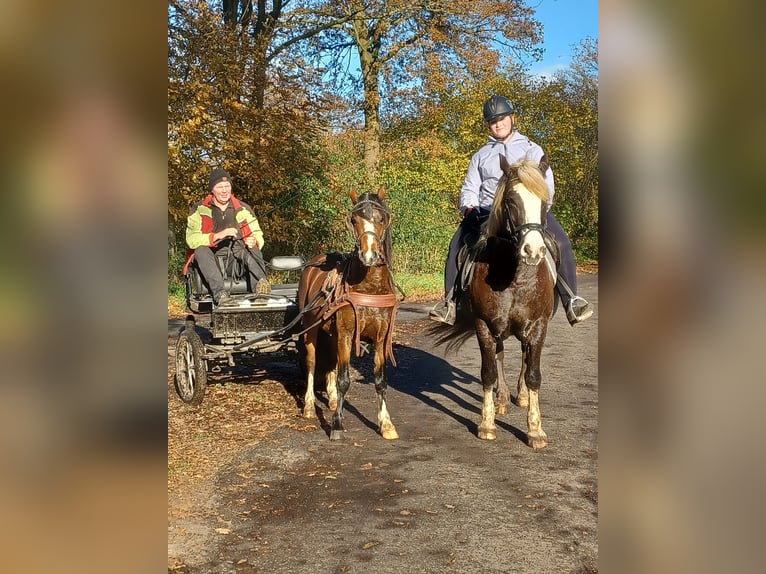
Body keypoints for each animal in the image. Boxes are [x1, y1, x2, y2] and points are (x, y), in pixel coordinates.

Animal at [296, 189, 400, 440]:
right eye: (354, 220)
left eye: (381, 218)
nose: (369, 255)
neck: (370, 288)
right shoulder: (345, 334)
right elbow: (344, 380)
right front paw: (336, 424)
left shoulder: (380, 338)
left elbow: (380, 380)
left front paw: (386, 424)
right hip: (311, 326)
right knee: (312, 362)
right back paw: (309, 406)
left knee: (332, 361)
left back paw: (333, 399)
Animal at [438, 158, 560, 450]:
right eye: (511, 200)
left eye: (544, 202)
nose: (533, 251)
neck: (513, 277)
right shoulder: (484, 325)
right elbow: (489, 372)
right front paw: (487, 424)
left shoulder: (538, 326)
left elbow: (534, 373)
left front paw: (535, 430)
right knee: (501, 355)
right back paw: (502, 399)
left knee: (525, 357)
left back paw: (522, 396)